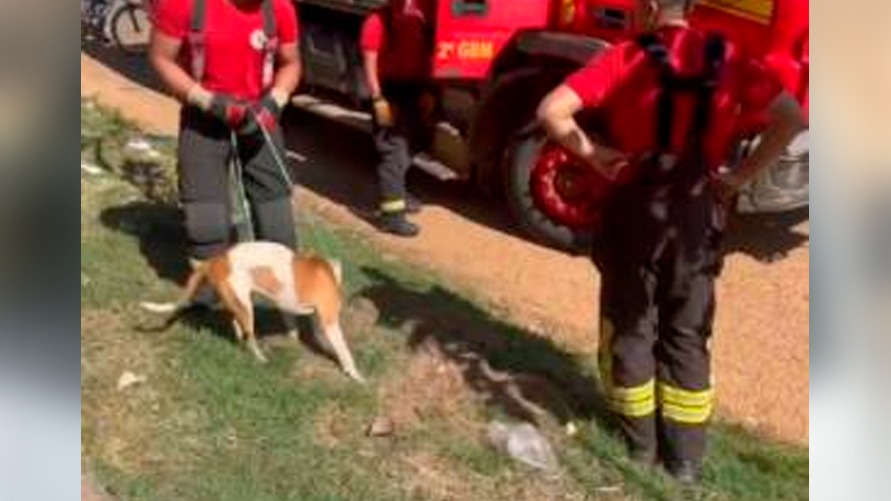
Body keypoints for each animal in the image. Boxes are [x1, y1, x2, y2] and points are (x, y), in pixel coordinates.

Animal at [141, 241, 364, 378]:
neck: (330, 271)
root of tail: (216, 260)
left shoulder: (290, 308)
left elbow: (292, 323)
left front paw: (293, 338)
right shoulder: (330, 322)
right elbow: (344, 351)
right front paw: (355, 375)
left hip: (237, 301)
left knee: (236, 323)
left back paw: (240, 338)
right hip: (246, 308)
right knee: (250, 337)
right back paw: (260, 357)